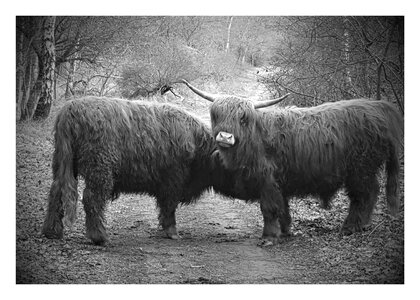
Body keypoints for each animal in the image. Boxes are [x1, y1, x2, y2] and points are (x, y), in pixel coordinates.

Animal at [41, 97, 233, 245]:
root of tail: (70, 109)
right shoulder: (173, 181)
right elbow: (169, 207)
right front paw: (172, 232)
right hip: (100, 168)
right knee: (91, 198)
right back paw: (99, 237)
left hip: (63, 163)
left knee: (56, 192)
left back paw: (52, 232)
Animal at [181, 79, 404, 246]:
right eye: (216, 114)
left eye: (242, 118)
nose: (225, 137)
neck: (255, 138)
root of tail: (380, 107)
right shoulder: (279, 183)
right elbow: (283, 207)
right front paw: (286, 231)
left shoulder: (268, 181)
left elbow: (269, 208)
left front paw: (269, 237)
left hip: (361, 169)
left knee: (364, 194)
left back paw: (350, 227)